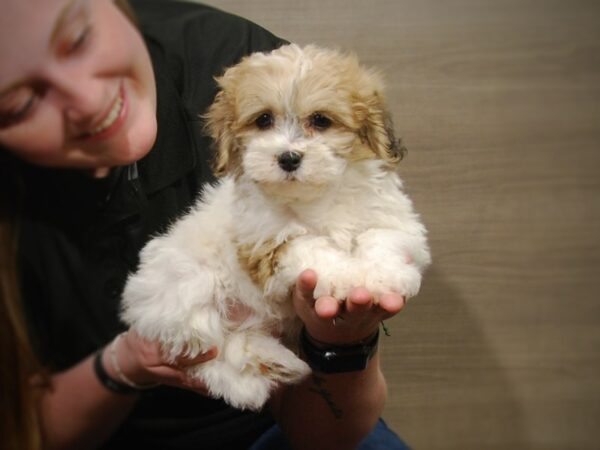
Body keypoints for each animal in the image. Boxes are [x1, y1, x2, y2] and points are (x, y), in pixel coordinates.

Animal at [120, 44, 432, 410]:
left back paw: (278, 363)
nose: (288, 158)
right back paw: (253, 381)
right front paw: (345, 276)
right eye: (264, 120)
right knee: (208, 351)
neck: (316, 195)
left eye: (321, 120)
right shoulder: (265, 242)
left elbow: (379, 236)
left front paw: (383, 276)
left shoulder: (395, 219)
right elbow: (312, 248)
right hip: (186, 288)